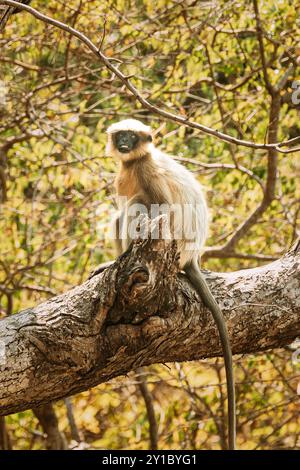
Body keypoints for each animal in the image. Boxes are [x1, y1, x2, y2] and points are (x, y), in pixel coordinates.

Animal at [104, 119, 236, 450]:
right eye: (121, 136)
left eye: (131, 137)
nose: (124, 143)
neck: (133, 162)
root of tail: (192, 257)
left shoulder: (147, 169)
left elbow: (161, 206)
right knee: (121, 213)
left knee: (137, 206)